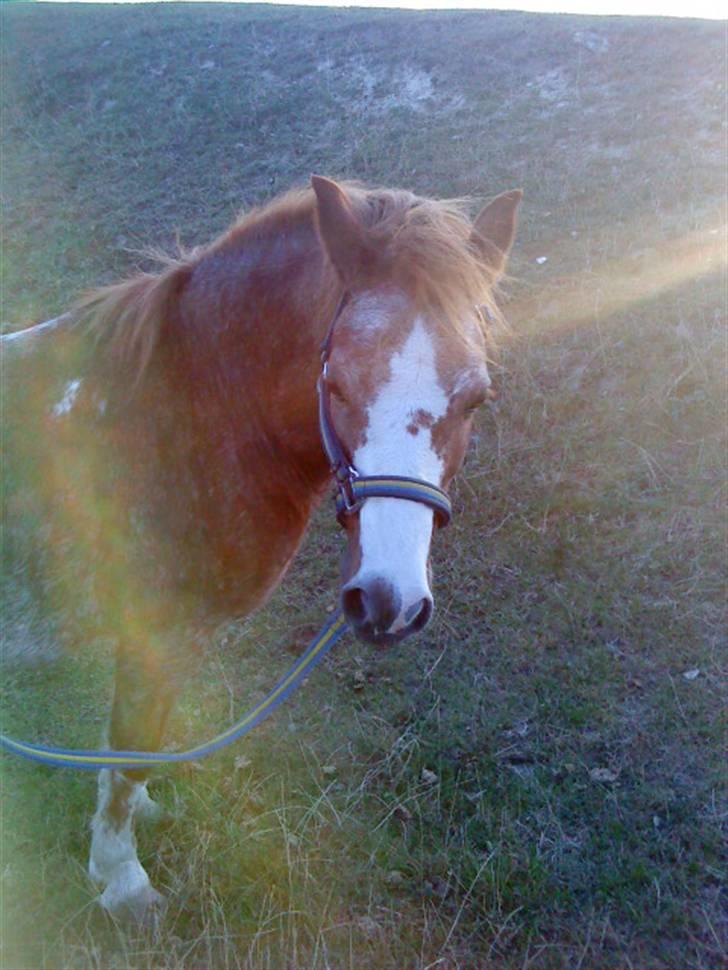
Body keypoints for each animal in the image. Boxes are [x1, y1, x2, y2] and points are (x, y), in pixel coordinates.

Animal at [2, 174, 520, 916]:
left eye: (476, 398)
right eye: (334, 383)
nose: (387, 601)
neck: (176, 418)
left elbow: (131, 751)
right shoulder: (156, 630)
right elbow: (131, 743)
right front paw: (122, 877)